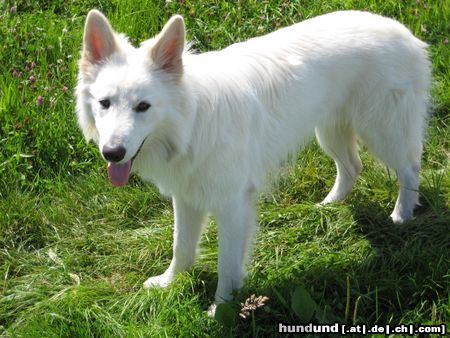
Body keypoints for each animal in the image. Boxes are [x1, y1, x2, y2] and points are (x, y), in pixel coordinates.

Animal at [75, 8, 430, 314]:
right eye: (105, 103)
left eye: (143, 107)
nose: (112, 153)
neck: (191, 122)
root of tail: (402, 31)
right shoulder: (187, 196)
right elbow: (181, 247)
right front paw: (169, 282)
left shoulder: (233, 207)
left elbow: (226, 265)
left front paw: (221, 309)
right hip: (329, 132)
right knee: (353, 167)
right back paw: (329, 205)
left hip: (382, 132)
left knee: (410, 170)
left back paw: (402, 214)